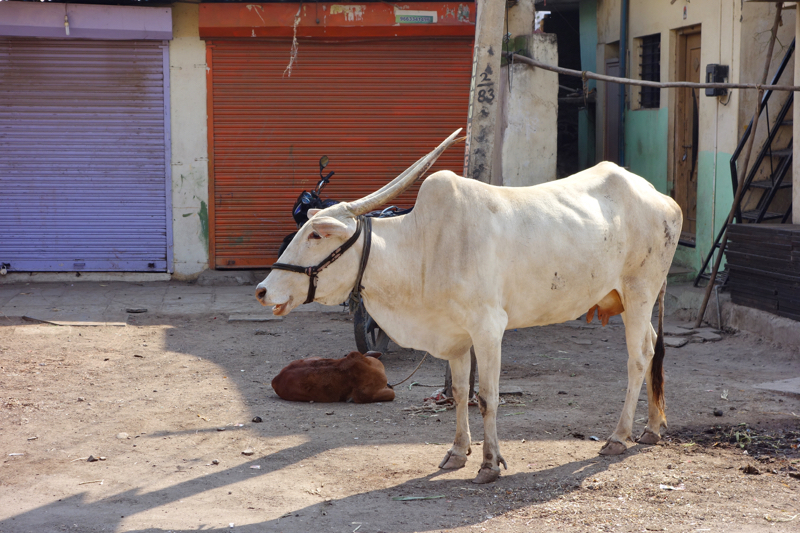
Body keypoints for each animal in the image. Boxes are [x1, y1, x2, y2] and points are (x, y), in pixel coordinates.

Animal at [256, 130, 682, 483]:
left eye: (315, 235)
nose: (262, 290)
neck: (426, 248)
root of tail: (661, 197)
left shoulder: (488, 329)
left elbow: (487, 397)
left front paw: (490, 464)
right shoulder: (455, 336)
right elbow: (461, 392)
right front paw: (458, 453)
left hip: (640, 291)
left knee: (638, 357)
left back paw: (619, 436)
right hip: (629, 300)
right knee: (652, 347)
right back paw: (652, 428)